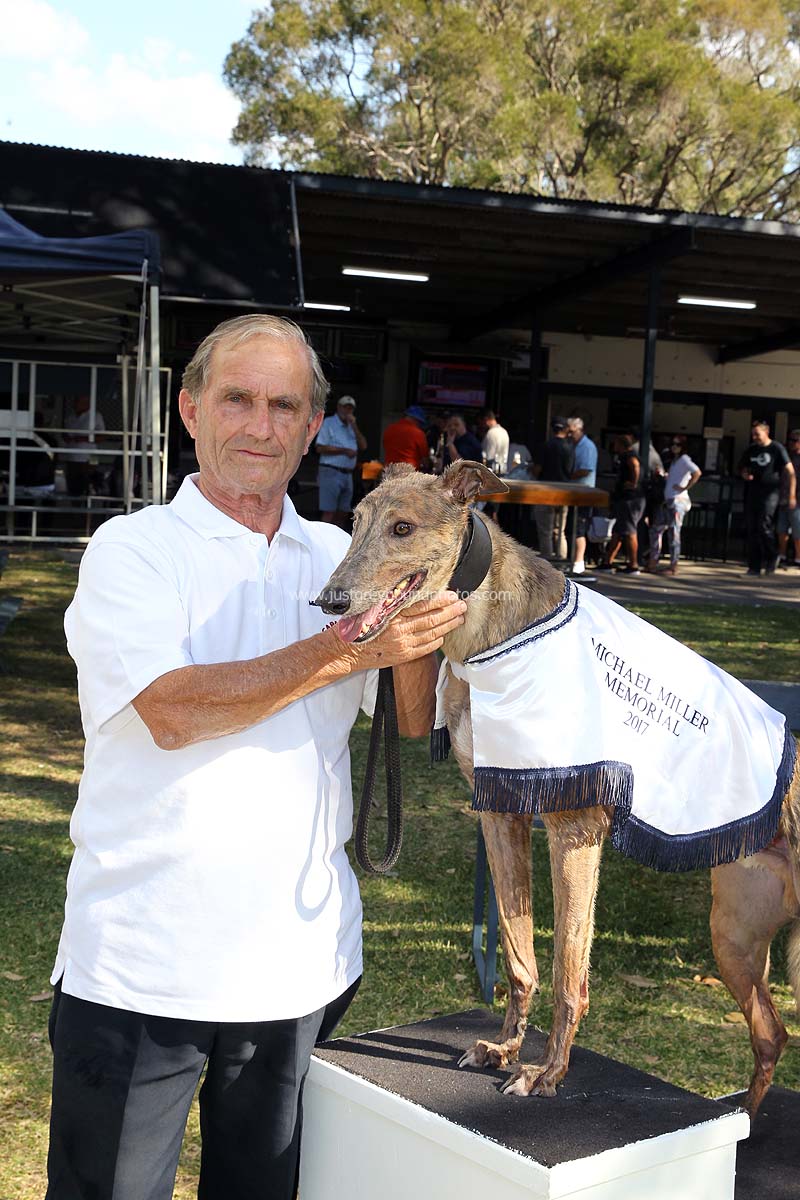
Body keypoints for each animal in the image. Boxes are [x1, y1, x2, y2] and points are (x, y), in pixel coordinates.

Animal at [315, 459, 800, 1117]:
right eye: (355, 520)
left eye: (403, 527)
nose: (328, 600)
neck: (492, 635)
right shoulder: (501, 813)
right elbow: (520, 957)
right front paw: (503, 1049)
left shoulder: (575, 832)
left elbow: (571, 972)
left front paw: (547, 1073)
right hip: (735, 934)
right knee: (771, 1033)